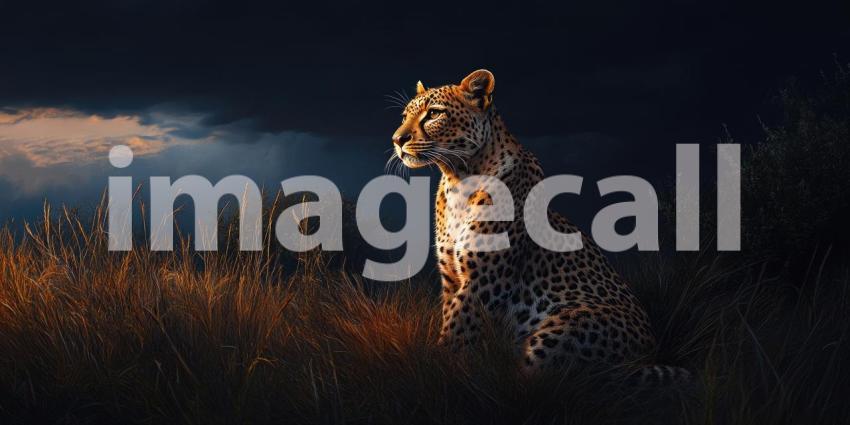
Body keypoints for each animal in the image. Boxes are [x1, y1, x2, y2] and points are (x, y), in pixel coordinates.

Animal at [390, 69, 691, 385]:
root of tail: (651, 350)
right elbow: (451, 319)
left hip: (565, 327)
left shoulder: (484, 281)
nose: (397, 139)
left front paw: (438, 369)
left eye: (434, 114)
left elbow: (458, 331)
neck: (458, 179)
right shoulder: (452, 279)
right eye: (405, 116)